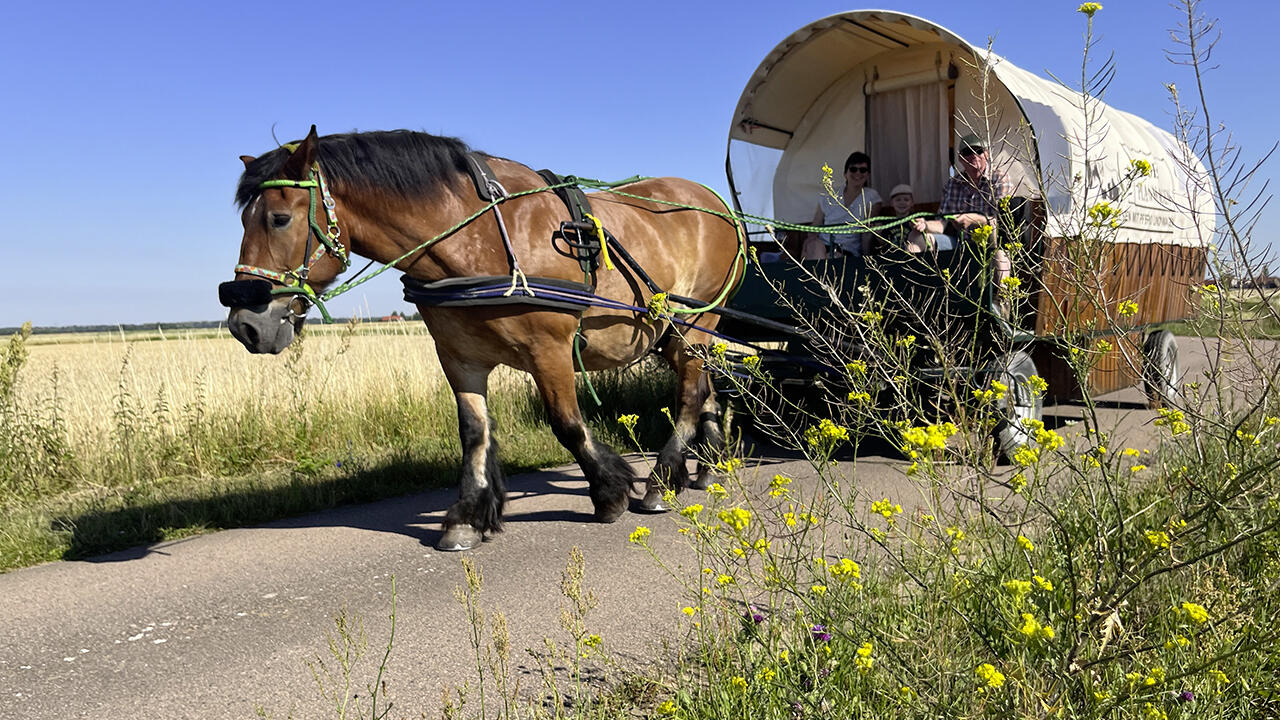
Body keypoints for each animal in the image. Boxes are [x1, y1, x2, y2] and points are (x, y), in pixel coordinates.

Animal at [216, 124, 747, 548]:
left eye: (279, 218)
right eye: (244, 219)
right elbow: (473, 433)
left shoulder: (548, 349)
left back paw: (661, 481)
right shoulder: (458, 355)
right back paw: (706, 467)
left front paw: (609, 492)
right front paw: (468, 516)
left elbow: (567, 424)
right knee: (706, 390)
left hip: (697, 322)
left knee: (688, 394)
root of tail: (719, 204)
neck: (479, 238)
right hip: (672, 333)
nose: (246, 324)